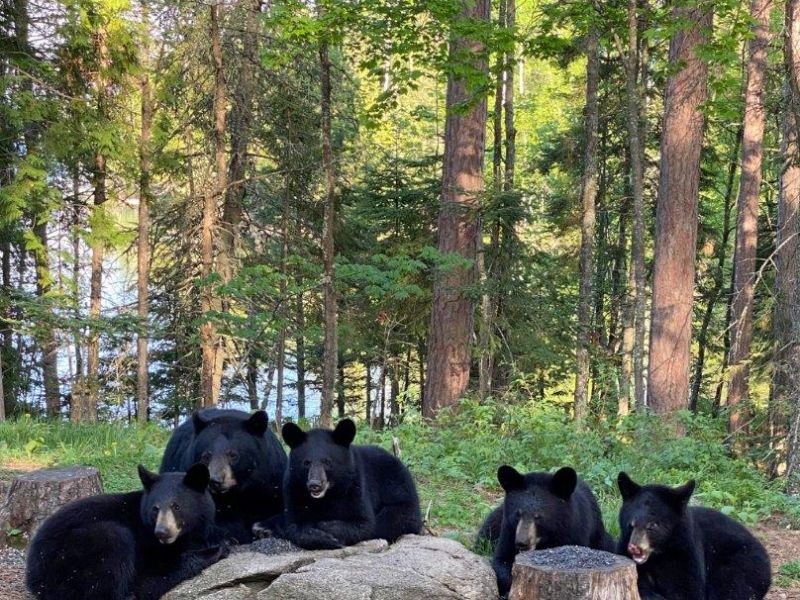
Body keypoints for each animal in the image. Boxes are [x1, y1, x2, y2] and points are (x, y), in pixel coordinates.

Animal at [26, 464, 228, 600]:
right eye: (155, 508)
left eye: (176, 506)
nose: (162, 532)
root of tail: (34, 579)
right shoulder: (147, 545)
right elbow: (154, 574)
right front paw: (213, 551)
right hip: (74, 554)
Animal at [255, 418, 422, 550]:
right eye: (306, 463)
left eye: (327, 462)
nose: (315, 485)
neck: (328, 495)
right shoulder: (294, 489)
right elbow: (295, 525)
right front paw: (320, 536)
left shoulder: (354, 486)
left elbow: (363, 523)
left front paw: (325, 529)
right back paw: (262, 528)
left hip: (398, 490)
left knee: (393, 519)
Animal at [477, 465, 615, 598]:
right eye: (518, 514)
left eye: (538, 516)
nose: (522, 542)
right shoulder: (509, 531)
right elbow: (501, 561)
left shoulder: (574, 533)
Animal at [617, 472, 771, 600]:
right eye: (631, 524)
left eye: (653, 526)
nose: (634, 547)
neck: (658, 555)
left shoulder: (685, 553)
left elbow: (687, 589)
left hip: (743, 565)